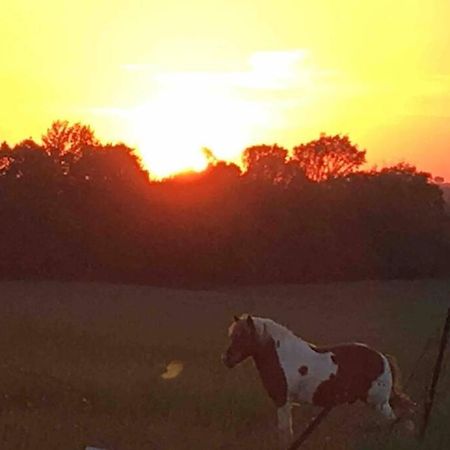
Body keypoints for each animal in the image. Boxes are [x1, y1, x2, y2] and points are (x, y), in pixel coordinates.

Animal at [221, 314, 414, 448]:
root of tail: (383, 358)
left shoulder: (283, 401)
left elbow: (285, 431)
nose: (226, 360)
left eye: (242, 336)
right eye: (233, 336)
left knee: (394, 422)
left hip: (379, 403)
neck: (282, 356)